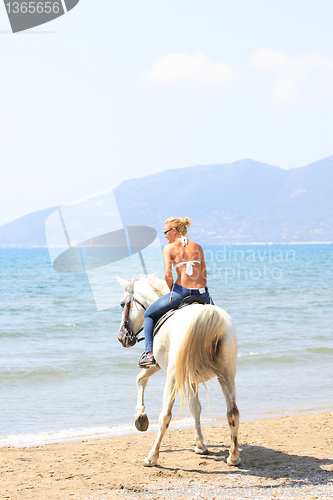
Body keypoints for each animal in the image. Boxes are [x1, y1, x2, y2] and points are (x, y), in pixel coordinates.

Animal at [116, 276, 239, 466]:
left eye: (123, 304)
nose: (122, 337)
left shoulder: (156, 365)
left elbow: (140, 379)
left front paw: (140, 416)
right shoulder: (192, 378)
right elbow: (196, 407)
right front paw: (200, 445)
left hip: (173, 378)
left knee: (165, 416)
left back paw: (152, 456)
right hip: (227, 374)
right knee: (233, 412)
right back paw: (233, 457)